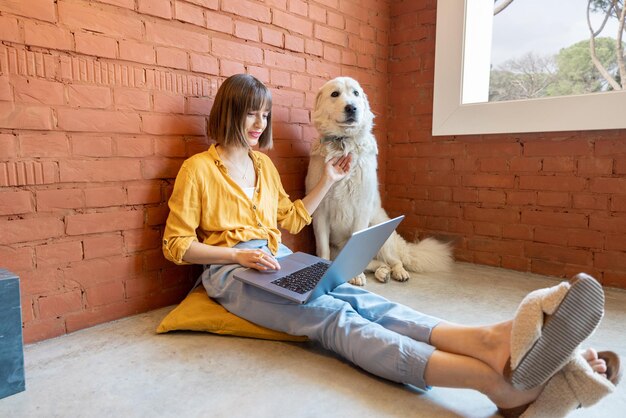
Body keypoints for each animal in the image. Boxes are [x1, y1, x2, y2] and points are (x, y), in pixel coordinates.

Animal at [304, 76, 450, 286]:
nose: (352, 107)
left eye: (356, 93)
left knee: (395, 260)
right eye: (335, 94)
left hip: (380, 230)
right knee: (376, 263)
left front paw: (357, 276)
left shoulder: (361, 209)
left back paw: (399, 273)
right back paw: (382, 273)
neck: (344, 144)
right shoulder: (320, 213)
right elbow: (322, 250)